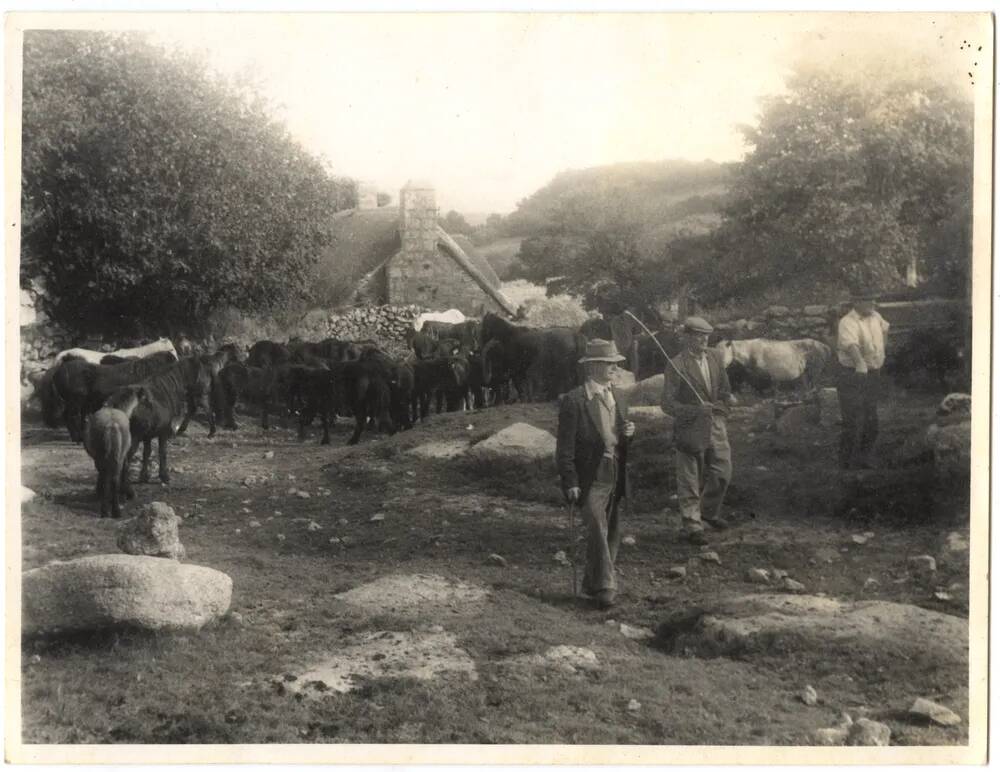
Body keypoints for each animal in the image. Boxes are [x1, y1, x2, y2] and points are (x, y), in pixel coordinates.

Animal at [124, 358, 214, 488]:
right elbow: (162, 452)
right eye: (202, 372)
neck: (164, 391)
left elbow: (147, 453)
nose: (208, 389)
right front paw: (164, 476)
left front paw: (144, 477)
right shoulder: (163, 432)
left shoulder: (147, 436)